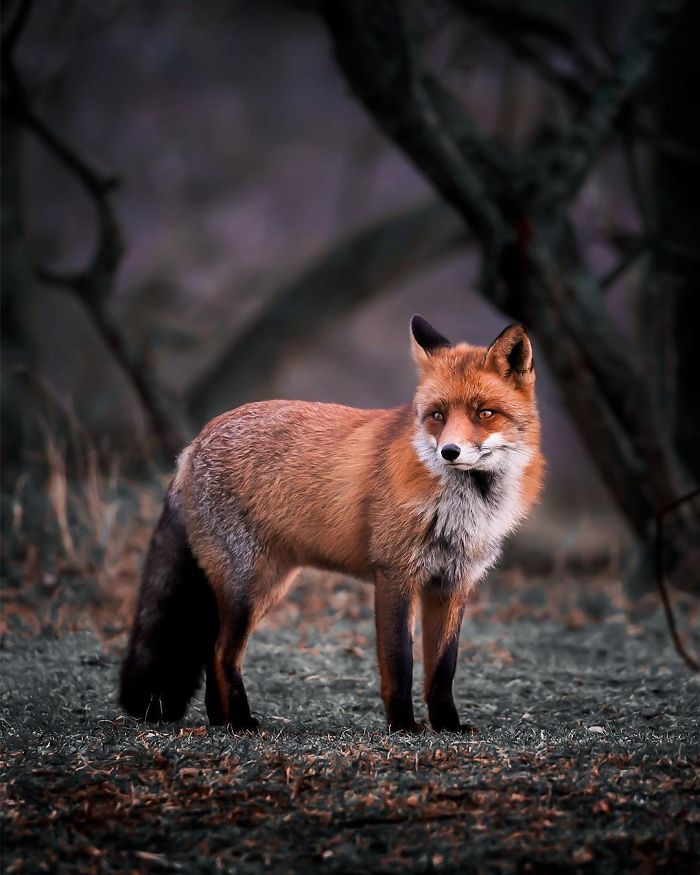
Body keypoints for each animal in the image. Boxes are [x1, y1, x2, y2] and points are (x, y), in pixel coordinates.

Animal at [120, 316, 544, 733]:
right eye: (437, 415)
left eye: (484, 413)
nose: (449, 451)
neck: (465, 508)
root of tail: (193, 444)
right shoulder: (395, 576)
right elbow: (399, 664)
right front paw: (404, 727)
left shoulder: (453, 585)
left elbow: (442, 668)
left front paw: (447, 726)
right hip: (248, 588)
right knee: (223, 653)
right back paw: (240, 722)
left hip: (264, 587)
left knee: (212, 652)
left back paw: (221, 723)